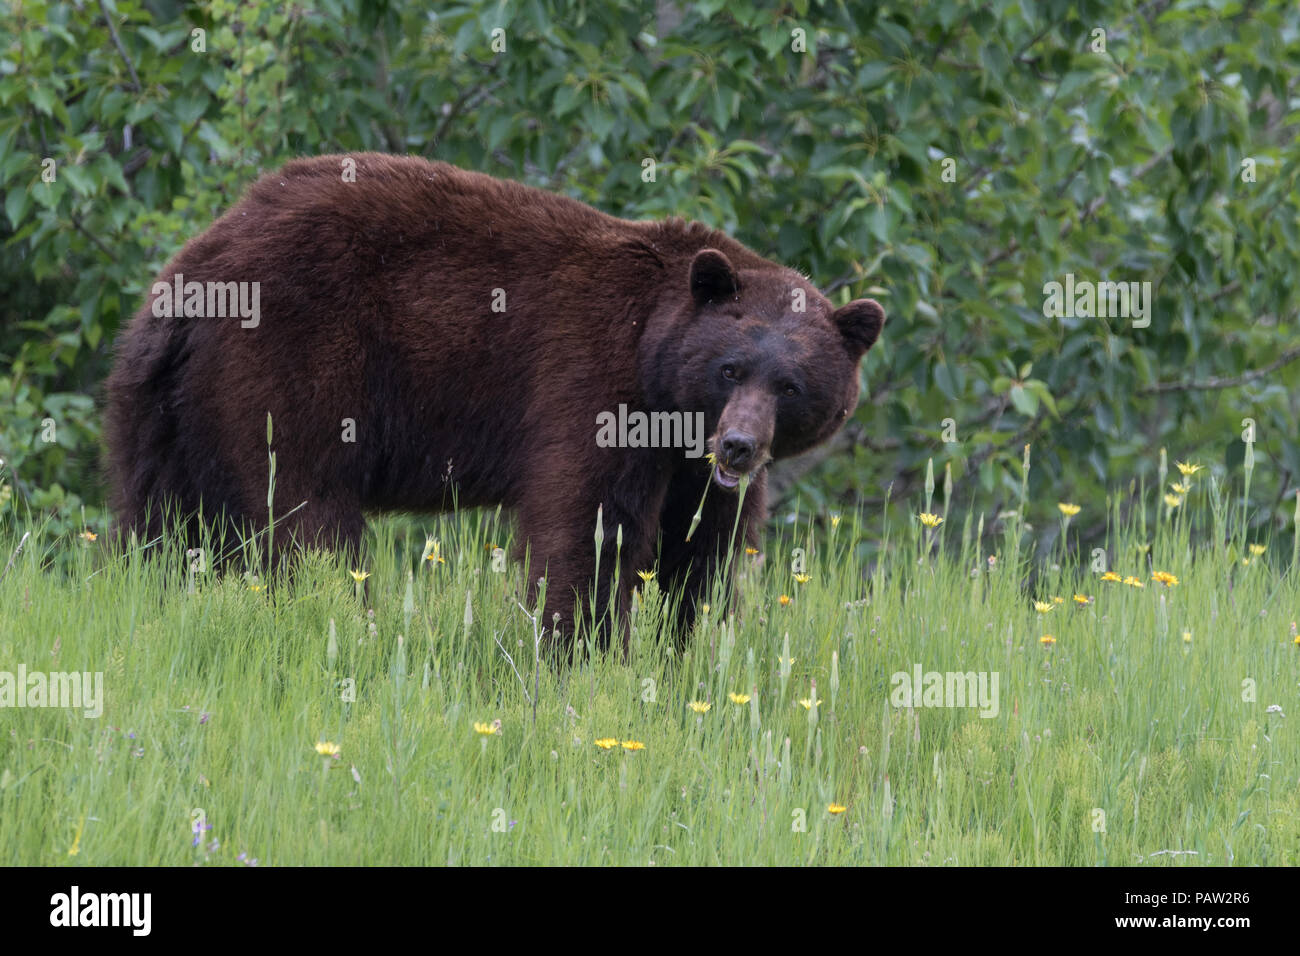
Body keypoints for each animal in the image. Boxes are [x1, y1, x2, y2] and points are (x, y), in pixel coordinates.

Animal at [104, 153, 884, 653]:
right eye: (730, 368)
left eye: (791, 386)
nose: (739, 446)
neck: (660, 375)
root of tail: (195, 270)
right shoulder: (591, 377)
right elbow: (589, 527)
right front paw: (583, 650)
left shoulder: (693, 465)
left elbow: (704, 548)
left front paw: (687, 648)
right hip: (284, 360)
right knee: (301, 510)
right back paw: (344, 618)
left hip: (167, 406)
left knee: (163, 517)